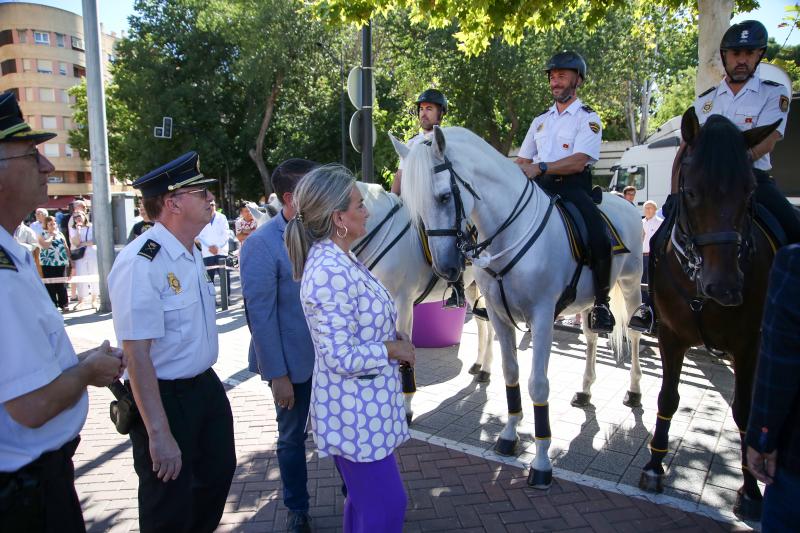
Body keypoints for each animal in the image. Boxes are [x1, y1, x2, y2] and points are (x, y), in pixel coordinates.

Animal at [394, 125, 644, 486]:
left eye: (443, 197)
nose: (445, 268)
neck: (508, 233)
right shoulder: (499, 316)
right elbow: (510, 373)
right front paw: (509, 436)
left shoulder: (541, 318)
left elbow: (537, 385)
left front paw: (541, 462)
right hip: (590, 302)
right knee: (591, 337)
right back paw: (585, 390)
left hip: (632, 285)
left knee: (635, 336)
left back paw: (635, 391)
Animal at [636, 107, 780, 520]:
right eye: (691, 191)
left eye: (749, 191)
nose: (725, 288)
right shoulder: (670, 335)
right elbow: (667, 398)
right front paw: (655, 465)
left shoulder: (748, 346)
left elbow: (745, 412)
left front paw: (750, 490)